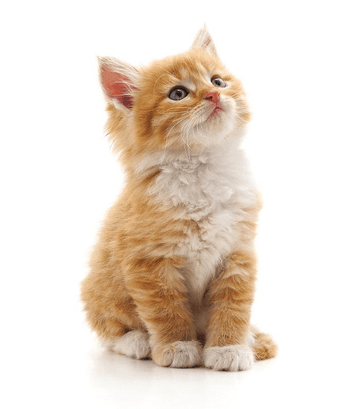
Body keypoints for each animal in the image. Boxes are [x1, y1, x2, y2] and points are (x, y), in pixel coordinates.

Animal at [81, 25, 278, 370]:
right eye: (177, 94)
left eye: (217, 81)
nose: (214, 95)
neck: (201, 167)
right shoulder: (148, 262)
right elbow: (165, 309)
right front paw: (178, 346)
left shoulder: (237, 253)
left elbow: (233, 306)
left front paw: (229, 348)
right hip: (99, 288)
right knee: (110, 330)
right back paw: (137, 341)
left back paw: (252, 338)